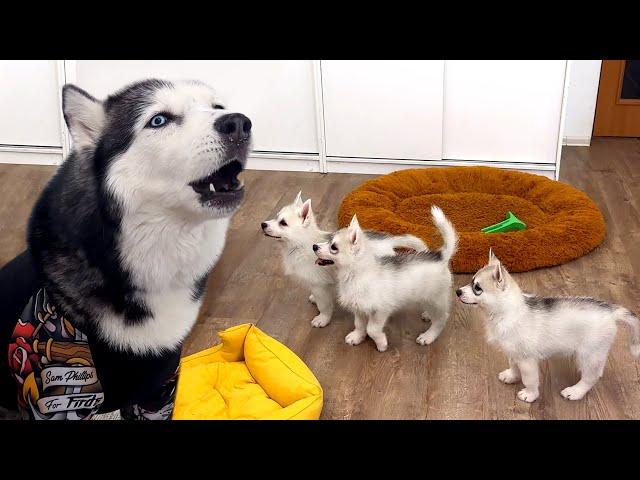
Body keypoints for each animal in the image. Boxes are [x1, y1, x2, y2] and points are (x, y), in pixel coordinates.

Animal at [314, 204, 456, 350]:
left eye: (333, 247)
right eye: (328, 240)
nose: (314, 246)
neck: (355, 275)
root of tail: (441, 256)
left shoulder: (381, 310)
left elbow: (372, 329)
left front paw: (381, 344)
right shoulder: (359, 308)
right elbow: (359, 324)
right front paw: (357, 336)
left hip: (435, 299)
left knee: (441, 319)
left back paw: (428, 336)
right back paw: (427, 315)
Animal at [458, 249, 636, 404]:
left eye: (477, 288)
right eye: (471, 282)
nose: (457, 292)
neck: (506, 312)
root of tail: (610, 311)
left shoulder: (527, 361)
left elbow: (529, 380)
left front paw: (530, 395)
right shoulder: (513, 352)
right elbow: (513, 365)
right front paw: (511, 376)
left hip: (589, 355)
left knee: (590, 377)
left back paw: (575, 392)